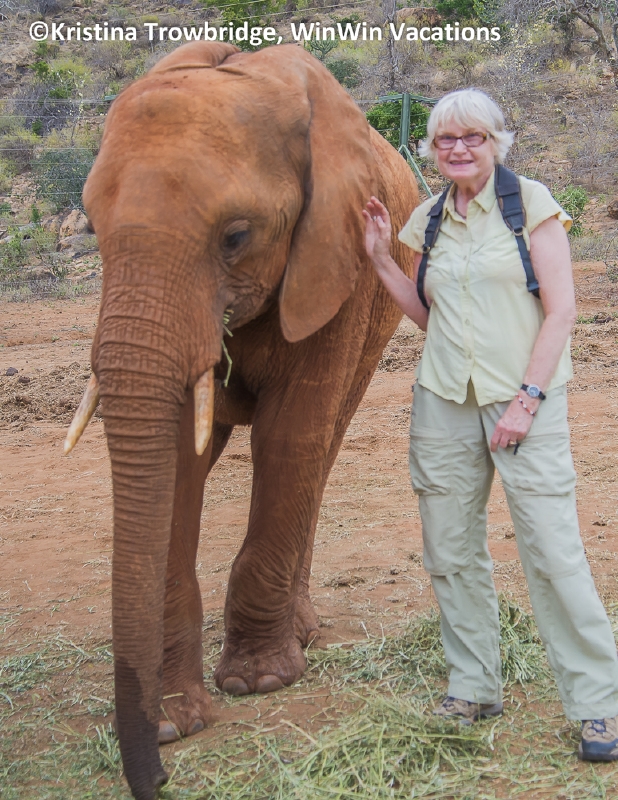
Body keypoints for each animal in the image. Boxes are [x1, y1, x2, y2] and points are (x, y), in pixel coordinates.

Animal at [66, 41, 419, 800]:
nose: (158, 775)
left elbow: (290, 438)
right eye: (95, 232)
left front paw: (259, 683)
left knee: (321, 447)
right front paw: (177, 721)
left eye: (235, 237)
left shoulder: (338, 259)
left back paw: (303, 632)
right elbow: (176, 460)